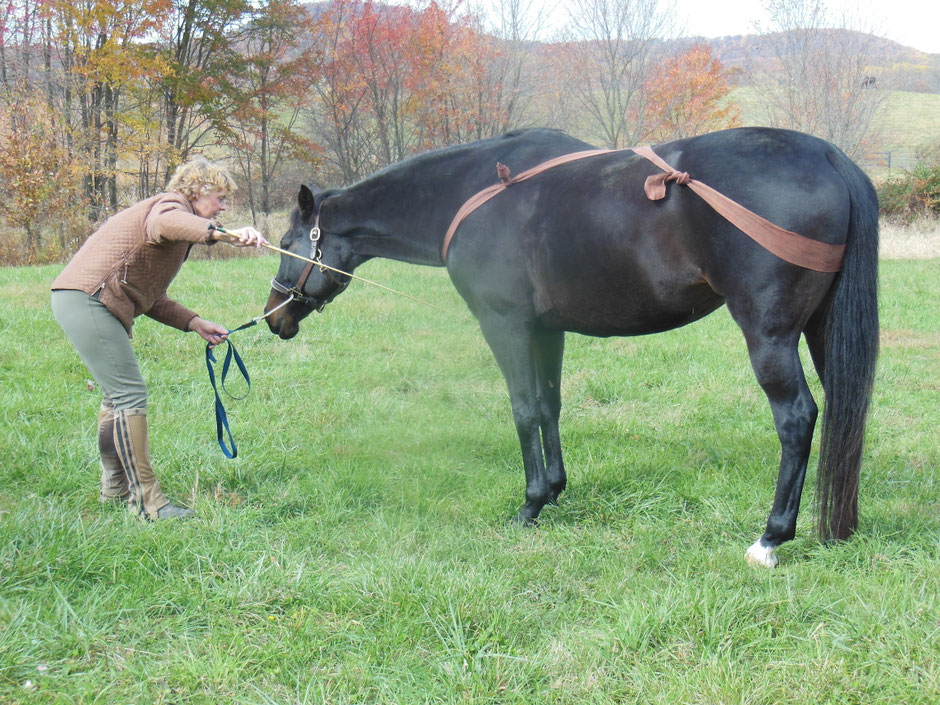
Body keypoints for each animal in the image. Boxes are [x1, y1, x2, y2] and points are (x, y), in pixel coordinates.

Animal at [264, 127, 879, 567]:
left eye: (290, 241)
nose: (274, 318)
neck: (472, 193)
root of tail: (828, 156)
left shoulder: (505, 324)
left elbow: (523, 409)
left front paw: (531, 502)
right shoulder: (546, 330)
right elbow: (550, 406)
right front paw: (557, 490)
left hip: (769, 336)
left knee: (797, 419)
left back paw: (772, 538)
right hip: (822, 331)